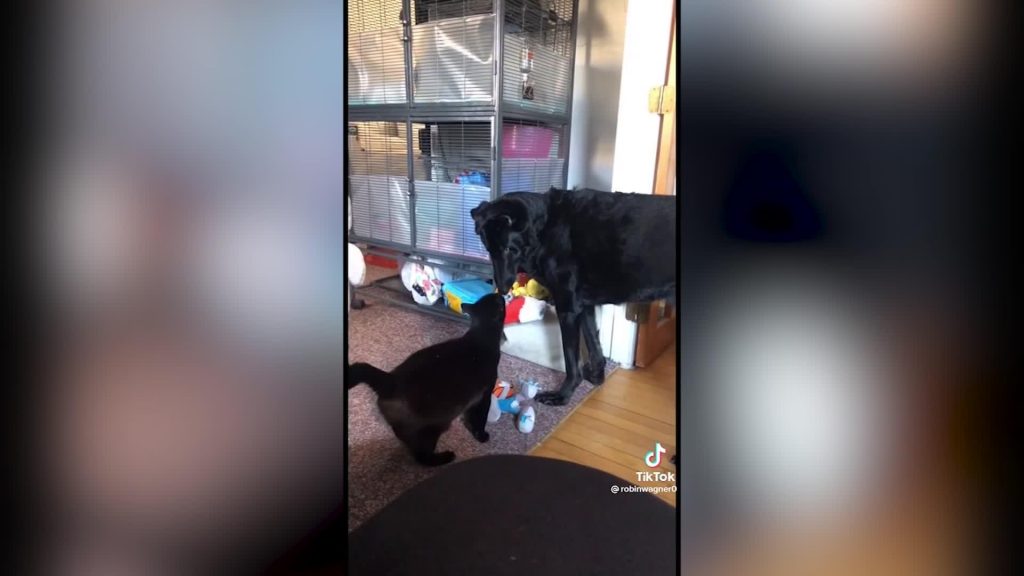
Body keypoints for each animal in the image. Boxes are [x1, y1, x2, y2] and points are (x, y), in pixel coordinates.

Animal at [346, 293, 505, 466]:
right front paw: (482, 436)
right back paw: (446, 457)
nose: (500, 294)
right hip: (433, 429)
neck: (481, 334)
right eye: (501, 301)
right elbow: (480, 419)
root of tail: (390, 380)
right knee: (422, 457)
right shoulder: (485, 395)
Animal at [471, 187, 676, 405]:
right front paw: (596, 377)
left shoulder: (567, 308)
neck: (544, 229)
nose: (501, 289)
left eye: (509, 249)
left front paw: (563, 395)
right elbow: (594, 345)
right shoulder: (583, 305)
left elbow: (571, 360)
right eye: (489, 250)